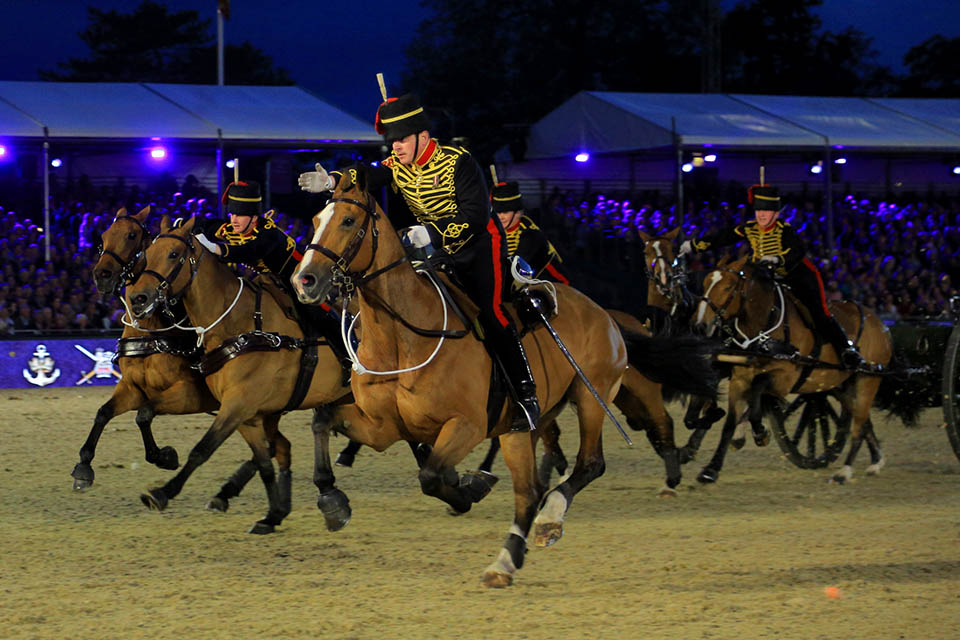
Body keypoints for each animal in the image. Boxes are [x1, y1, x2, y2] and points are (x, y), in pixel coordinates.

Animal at [124, 218, 354, 532]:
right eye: (147, 253)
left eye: (173, 254)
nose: (139, 298)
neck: (239, 326)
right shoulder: (247, 413)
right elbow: (264, 463)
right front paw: (272, 514)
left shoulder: (238, 404)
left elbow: (202, 449)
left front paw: (163, 492)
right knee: (283, 447)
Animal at [288, 172, 716, 588]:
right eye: (316, 221)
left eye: (348, 221)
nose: (304, 280)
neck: (403, 337)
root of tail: (605, 314)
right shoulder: (383, 427)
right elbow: (322, 421)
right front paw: (332, 500)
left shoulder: (467, 425)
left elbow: (431, 475)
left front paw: (466, 491)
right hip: (519, 428)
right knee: (529, 491)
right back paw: (506, 561)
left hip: (590, 399)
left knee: (589, 464)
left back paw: (550, 519)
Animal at [688, 252, 892, 482]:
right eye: (705, 283)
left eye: (728, 287)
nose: (699, 325)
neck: (764, 329)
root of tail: (880, 323)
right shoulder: (739, 379)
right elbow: (729, 423)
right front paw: (711, 468)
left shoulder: (784, 379)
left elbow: (757, 391)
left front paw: (760, 432)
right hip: (841, 384)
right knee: (861, 418)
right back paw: (876, 460)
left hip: (868, 379)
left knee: (858, 424)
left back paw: (845, 470)